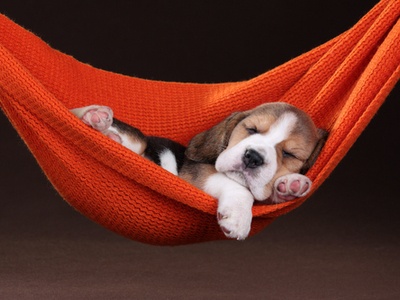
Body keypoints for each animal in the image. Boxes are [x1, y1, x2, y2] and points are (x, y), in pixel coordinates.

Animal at [72, 102, 326, 239]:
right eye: (251, 129)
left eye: (290, 154)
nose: (253, 157)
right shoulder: (198, 177)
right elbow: (240, 189)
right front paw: (238, 219)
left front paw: (292, 184)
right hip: (139, 141)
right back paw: (96, 118)